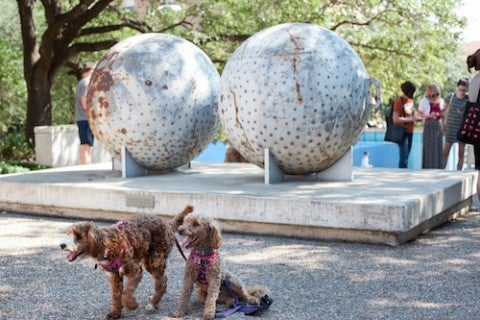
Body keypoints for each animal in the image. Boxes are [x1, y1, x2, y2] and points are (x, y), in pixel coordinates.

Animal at [60, 206, 193, 318]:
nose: (62, 245)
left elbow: (126, 293)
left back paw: (153, 303)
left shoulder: (135, 271)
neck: (107, 245)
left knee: (161, 281)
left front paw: (131, 305)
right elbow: (116, 296)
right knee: (163, 279)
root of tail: (166, 224)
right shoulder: (114, 276)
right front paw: (115, 313)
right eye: (68, 234)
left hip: (154, 259)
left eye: (79, 236)